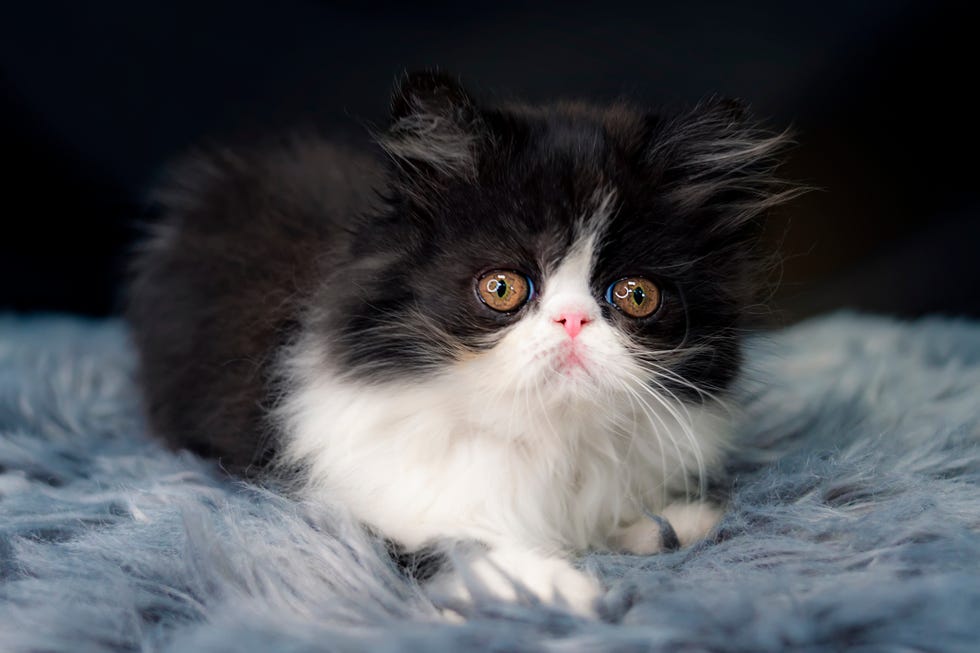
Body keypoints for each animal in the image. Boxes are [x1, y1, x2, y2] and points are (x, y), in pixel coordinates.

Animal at [126, 72, 792, 616]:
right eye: (501, 288)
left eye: (634, 295)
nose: (572, 320)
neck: (544, 434)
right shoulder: (351, 503)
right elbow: (451, 543)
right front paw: (552, 586)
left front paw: (673, 521)